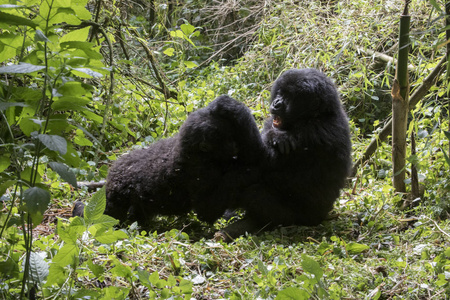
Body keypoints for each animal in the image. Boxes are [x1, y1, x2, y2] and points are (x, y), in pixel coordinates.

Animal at [103, 96, 262, 227]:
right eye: (227, 140)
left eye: (231, 135)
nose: (235, 146)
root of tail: (111, 173)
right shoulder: (202, 171)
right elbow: (207, 210)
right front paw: (247, 173)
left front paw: (226, 105)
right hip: (117, 194)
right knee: (113, 214)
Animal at [216, 68, 354, 241]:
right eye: (281, 92)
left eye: (289, 97)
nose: (276, 103)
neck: (320, 114)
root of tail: (323, 217)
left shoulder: (313, 134)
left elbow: (258, 160)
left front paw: (234, 109)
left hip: (297, 219)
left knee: (253, 189)